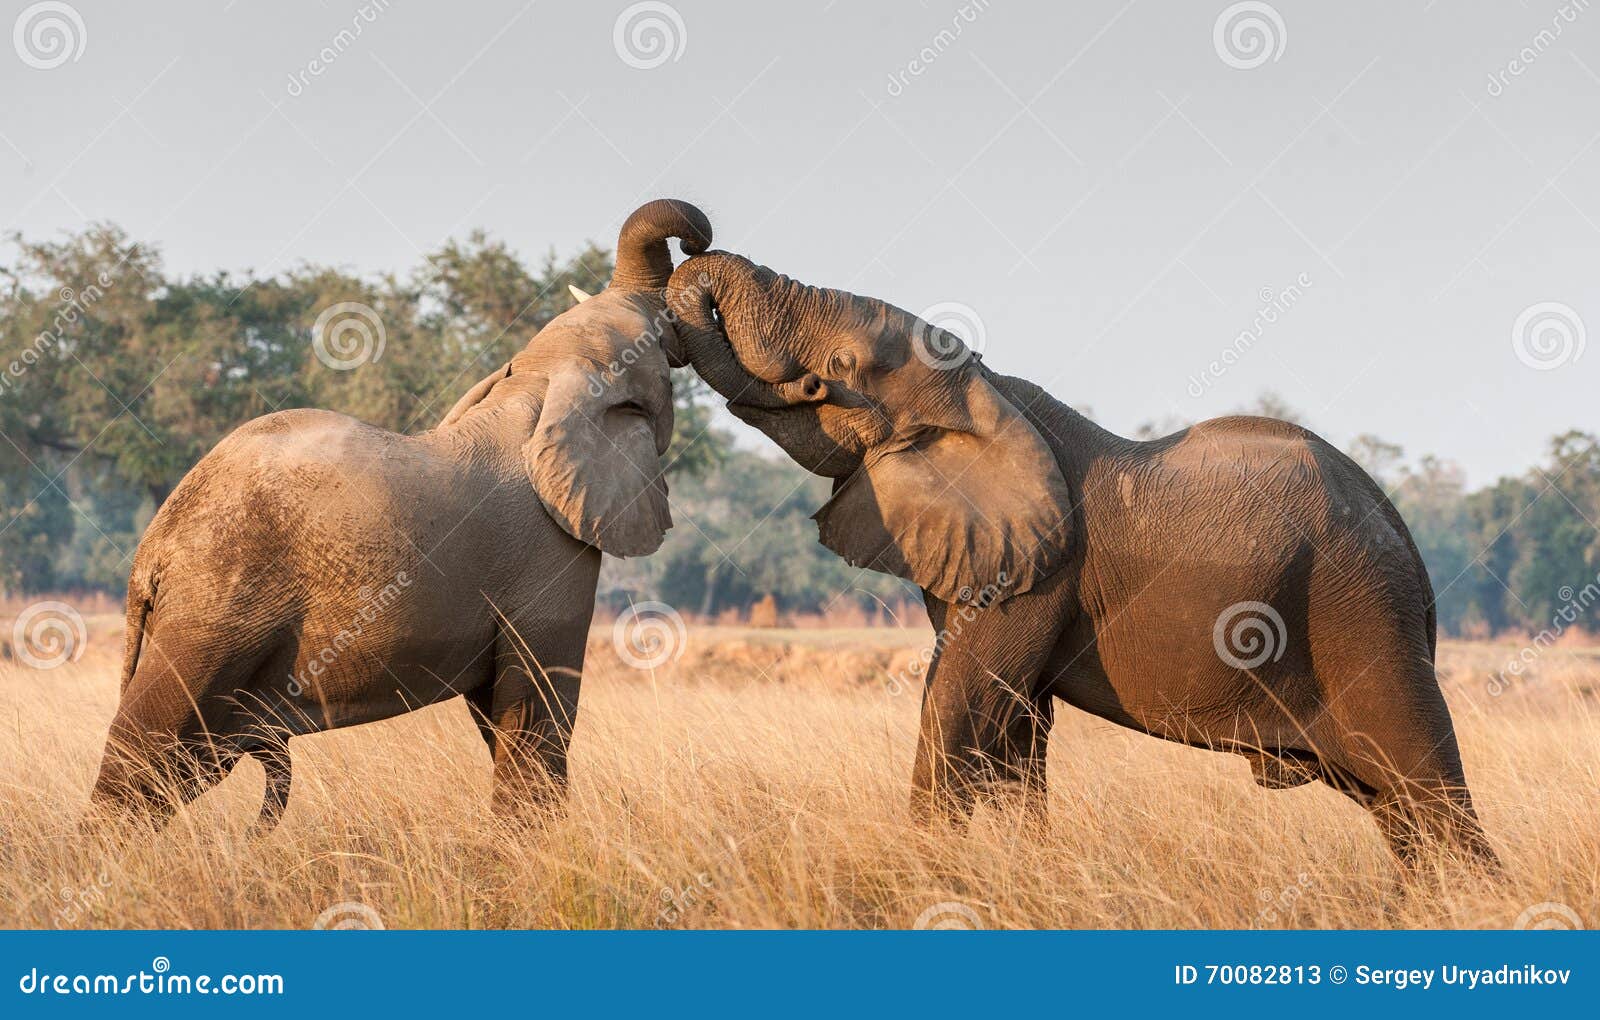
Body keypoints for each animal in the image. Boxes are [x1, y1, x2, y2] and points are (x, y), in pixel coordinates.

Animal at [90, 198, 710, 837]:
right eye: (660, 354)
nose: (697, 246)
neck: (538, 385)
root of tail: (152, 550)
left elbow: (499, 712)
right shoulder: (550, 554)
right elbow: (536, 705)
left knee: (188, 762)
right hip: (216, 611)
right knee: (148, 747)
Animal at [662, 249, 1497, 882]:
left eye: (843, 365)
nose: (688, 243)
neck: (988, 388)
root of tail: (1410, 548)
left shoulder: (1039, 576)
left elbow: (961, 703)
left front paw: (924, 876)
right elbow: (1017, 726)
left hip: (1362, 619)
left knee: (1428, 789)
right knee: (1399, 811)